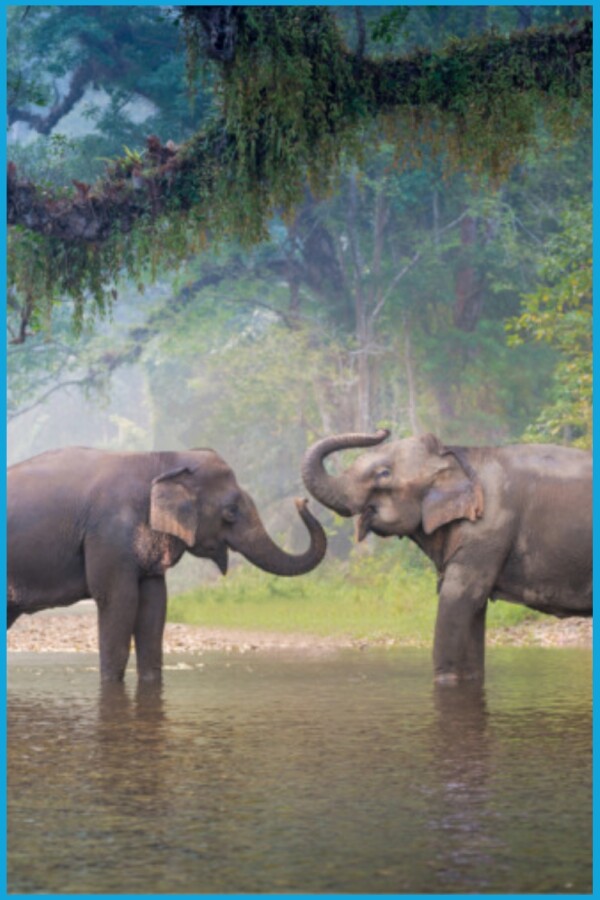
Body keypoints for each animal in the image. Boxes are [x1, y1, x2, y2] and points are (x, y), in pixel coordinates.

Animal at [8, 447, 327, 682]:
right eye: (231, 511)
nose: (303, 500)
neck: (160, 459)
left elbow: (154, 604)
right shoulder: (109, 533)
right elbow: (118, 600)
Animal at [302, 429, 592, 683]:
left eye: (384, 473)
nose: (382, 430)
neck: (458, 457)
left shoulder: (487, 528)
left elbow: (459, 598)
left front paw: (445, 682)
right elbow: (474, 610)